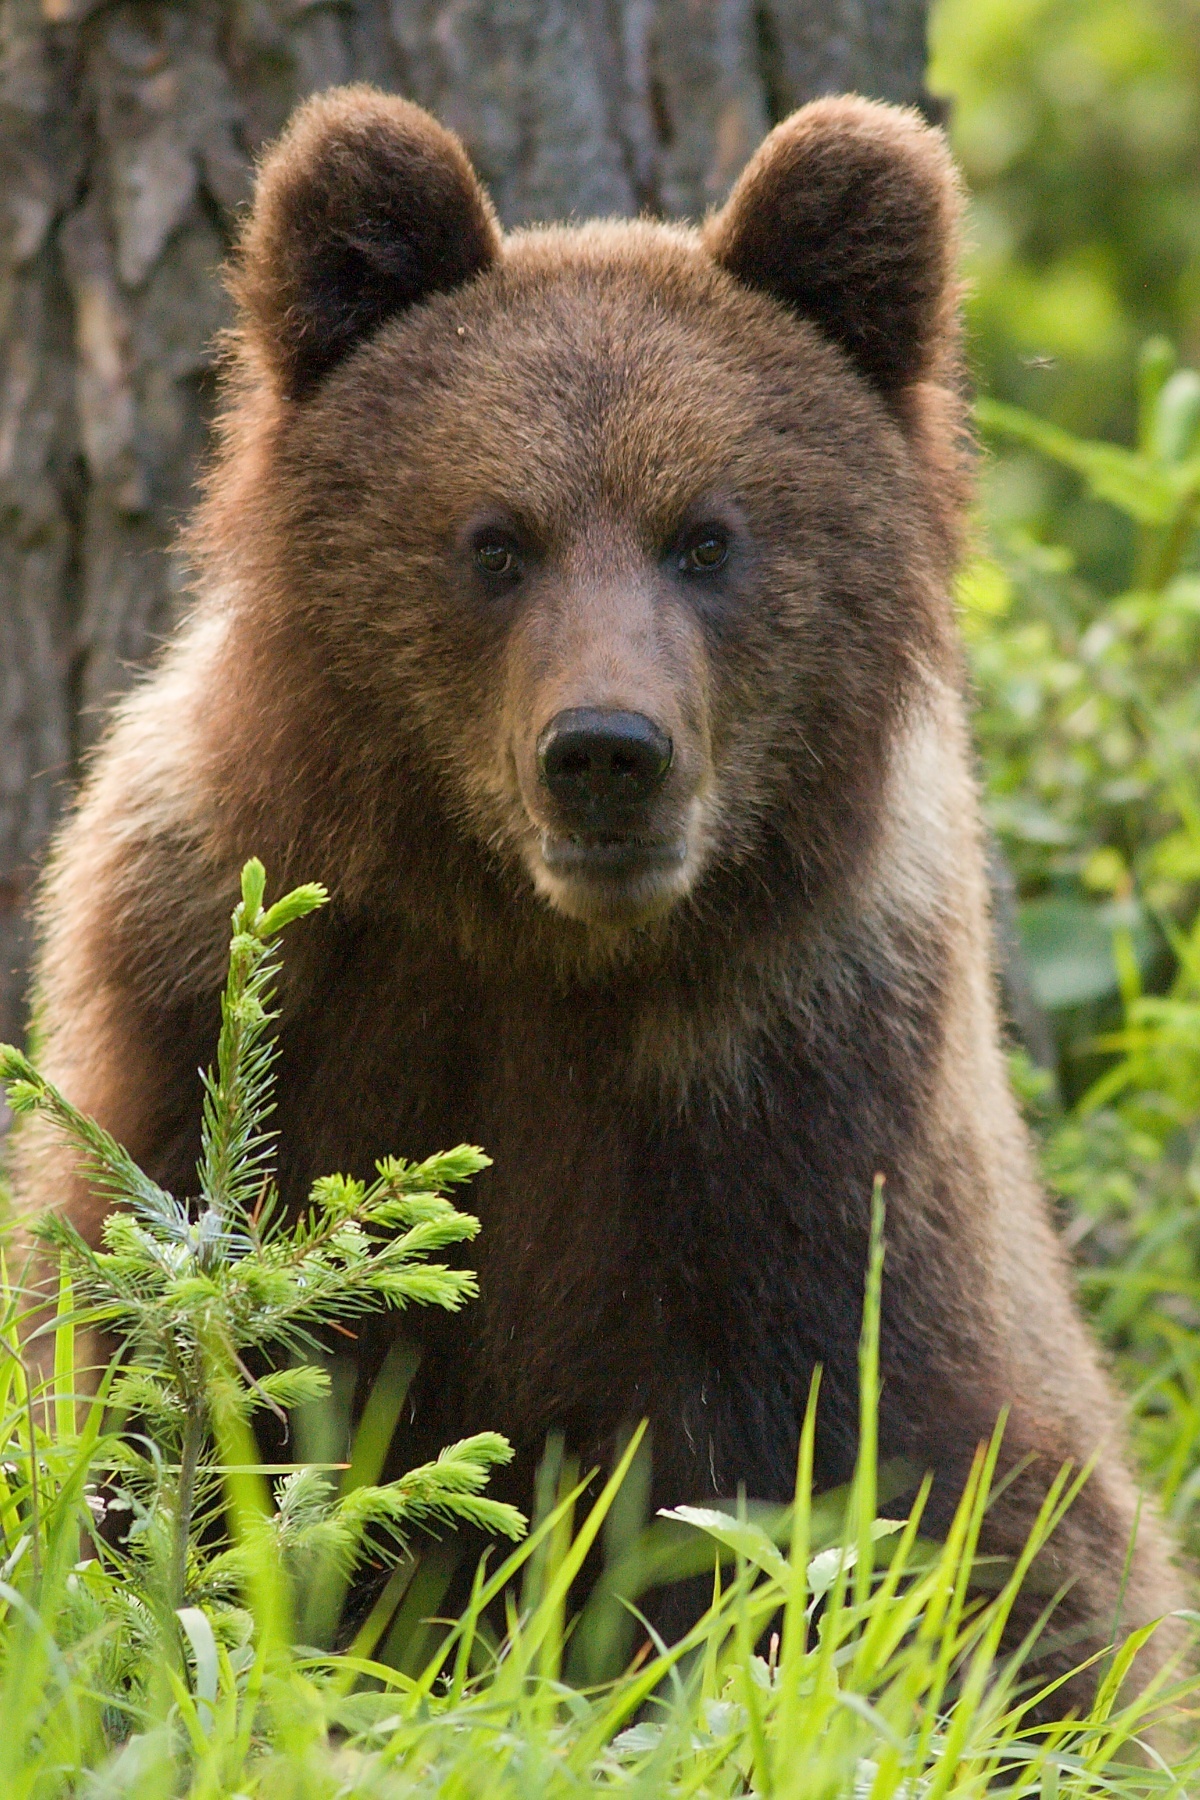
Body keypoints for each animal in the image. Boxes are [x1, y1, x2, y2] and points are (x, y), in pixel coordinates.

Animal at [14, 81, 1187, 1684]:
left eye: (708, 536)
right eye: (496, 540)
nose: (608, 753)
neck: (541, 948)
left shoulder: (791, 1098)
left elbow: (832, 1490)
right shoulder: (225, 1004)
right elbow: (166, 1366)